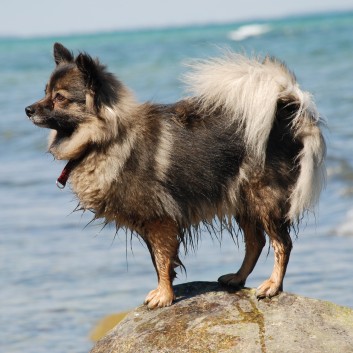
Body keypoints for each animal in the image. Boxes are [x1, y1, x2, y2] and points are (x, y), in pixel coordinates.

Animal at [26, 42, 326, 308]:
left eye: (60, 98)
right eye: (45, 92)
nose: (28, 110)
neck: (104, 139)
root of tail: (285, 111)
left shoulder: (159, 220)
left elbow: (161, 260)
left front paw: (164, 295)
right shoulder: (151, 223)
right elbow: (160, 261)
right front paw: (164, 290)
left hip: (263, 198)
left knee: (282, 243)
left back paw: (272, 285)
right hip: (242, 199)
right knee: (256, 241)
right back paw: (237, 278)